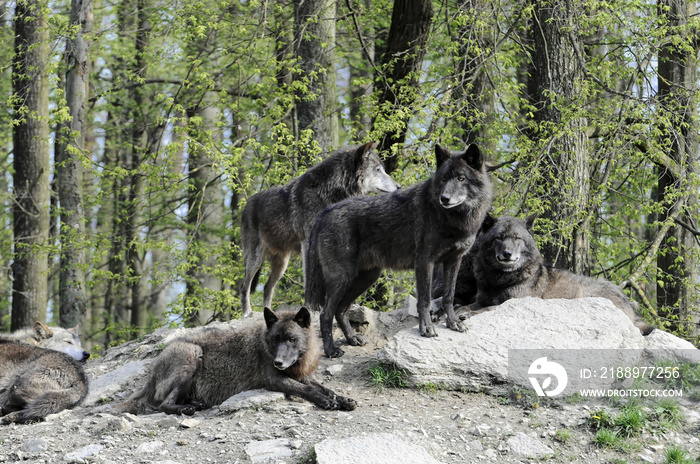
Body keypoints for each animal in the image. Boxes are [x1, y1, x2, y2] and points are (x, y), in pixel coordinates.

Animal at [119, 306, 356, 416]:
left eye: (291, 339)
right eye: (275, 339)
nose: (278, 363)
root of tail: (151, 373)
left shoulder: (301, 374)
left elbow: (325, 388)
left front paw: (343, 399)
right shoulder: (276, 380)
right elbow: (306, 390)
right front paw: (326, 401)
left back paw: (196, 404)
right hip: (192, 354)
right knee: (163, 404)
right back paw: (186, 408)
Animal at [239, 142, 400, 320]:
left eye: (383, 169)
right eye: (378, 170)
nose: (399, 186)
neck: (331, 191)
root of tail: (246, 204)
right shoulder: (308, 243)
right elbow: (310, 278)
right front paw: (312, 306)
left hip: (281, 264)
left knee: (268, 287)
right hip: (255, 259)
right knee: (244, 286)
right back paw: (247, 313)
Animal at [304, 143, 492, 358]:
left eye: (461, 178)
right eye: (443, 179)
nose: (444, 198)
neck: (454, 219)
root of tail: (325, 212)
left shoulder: (454, 261)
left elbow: (449, 296)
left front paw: (453, 323)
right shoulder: (425, 262)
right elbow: (425, 300)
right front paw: (426, 329)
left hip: (366, 278)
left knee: (341, 310)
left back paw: (352, 339)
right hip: (343, 278)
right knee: (326, 314)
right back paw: (331, 350)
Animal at [456, 212, 652, 336]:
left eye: (517, 238)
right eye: (499, 238)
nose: (507, 254)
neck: (500, 280)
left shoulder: (512, 303)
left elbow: (486, 309)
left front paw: (467, 314)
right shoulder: (482, 298)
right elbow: (469, 305)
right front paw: (459, 310)